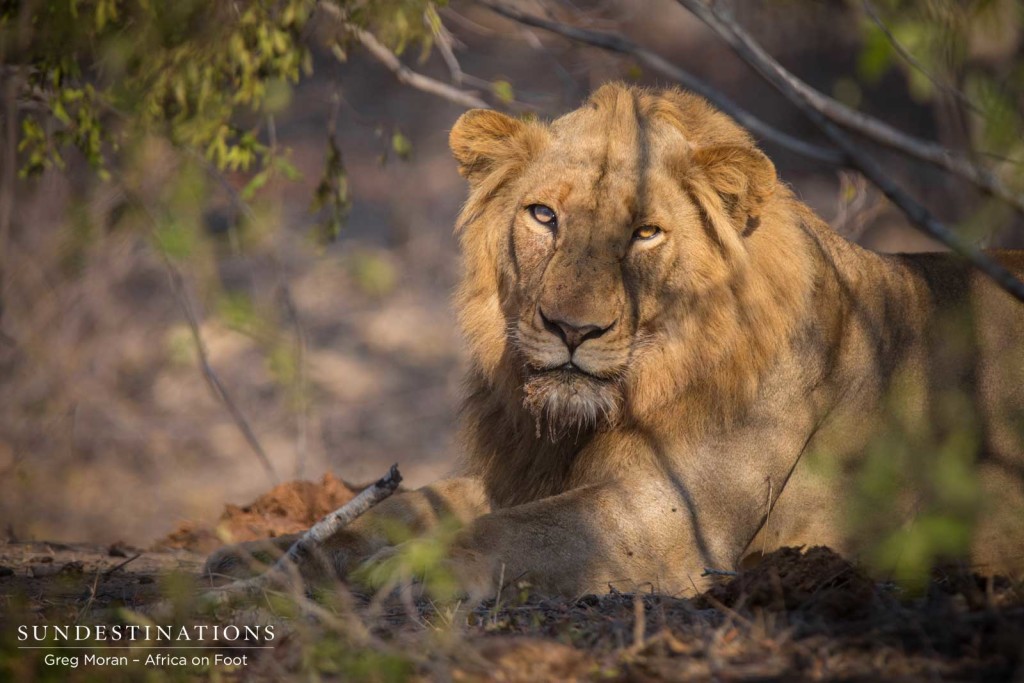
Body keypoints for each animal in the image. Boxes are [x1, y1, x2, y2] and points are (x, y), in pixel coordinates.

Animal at [207, 82, 1024, 598]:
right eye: (543, 216)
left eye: (645, 233)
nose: (573, 329)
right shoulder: (520, 471)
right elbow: (412, 505)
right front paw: (256, 554)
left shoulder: (670, 525)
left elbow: (512, 533)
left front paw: (408, 571)